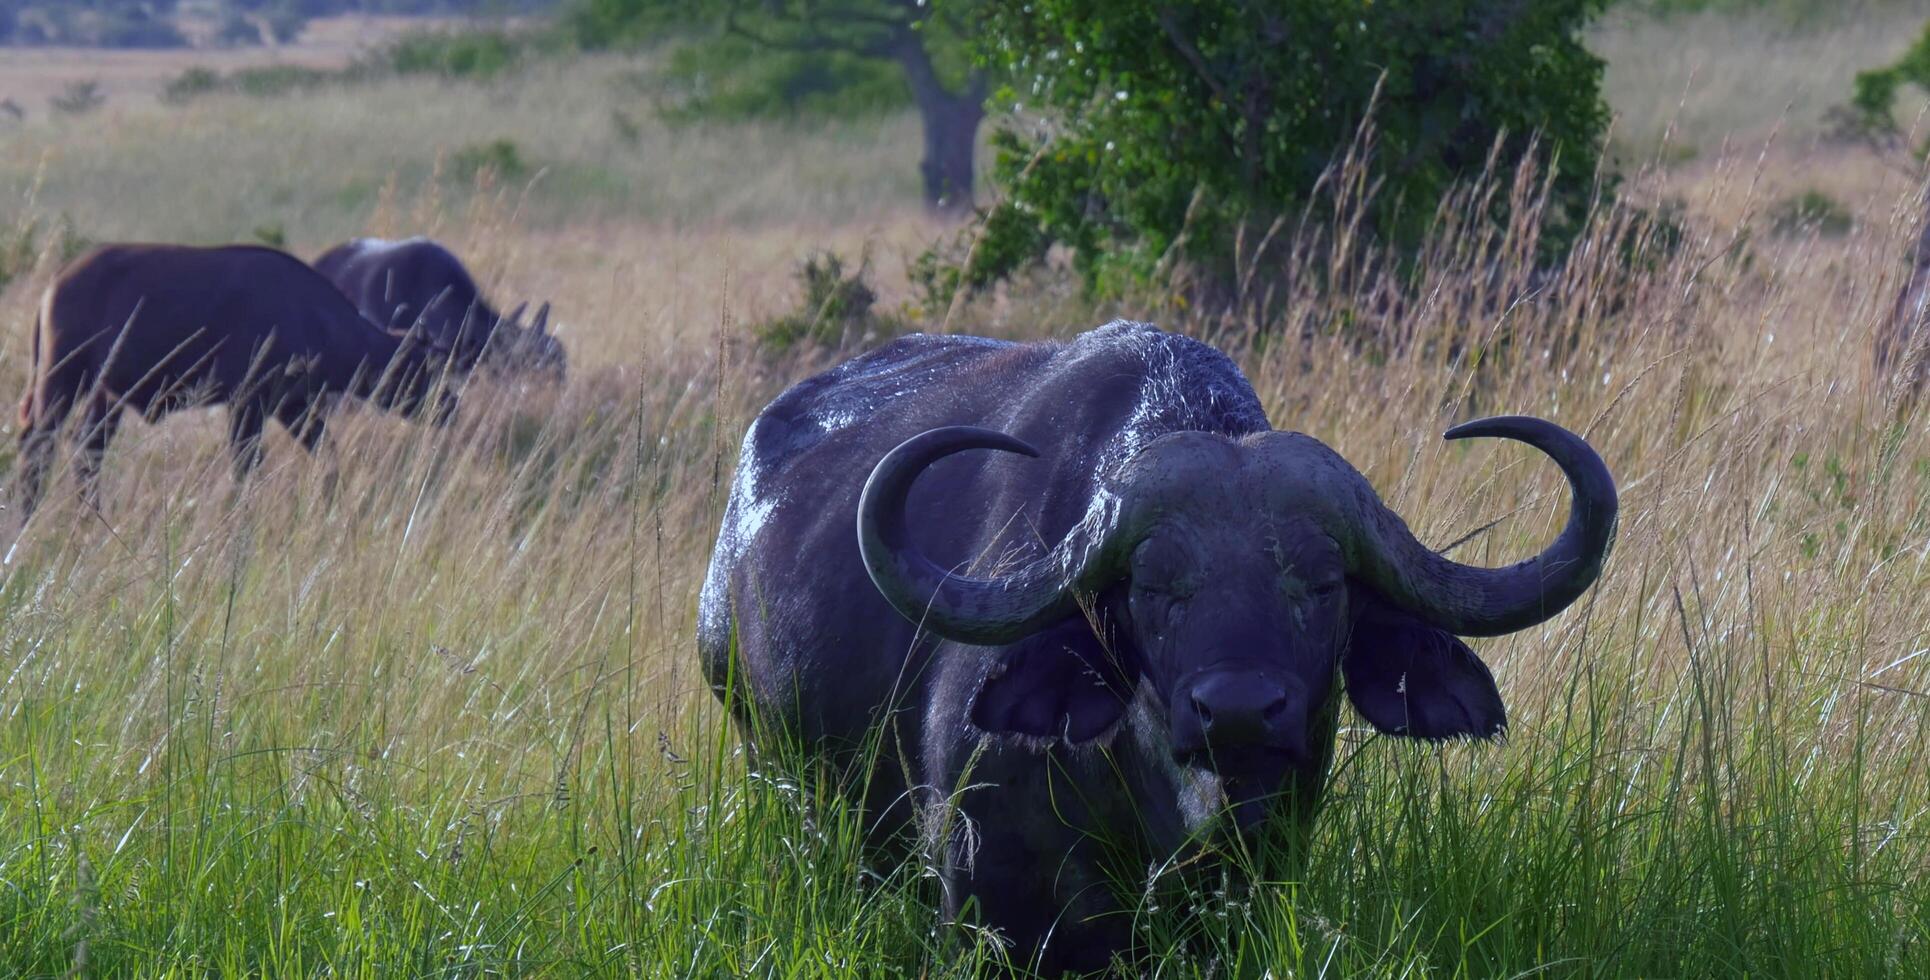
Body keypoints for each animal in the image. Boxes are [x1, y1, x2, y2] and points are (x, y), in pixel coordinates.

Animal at [13, 243, 455, 513]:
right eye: (424, 369)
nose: (450, 406)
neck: (313, 316)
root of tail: (56, 283)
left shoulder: (294, 407)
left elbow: (327, 457)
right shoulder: (249, 405)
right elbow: (246, 468)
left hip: (105, 396)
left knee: (87, 451)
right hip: (60, 384)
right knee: (39, 448)